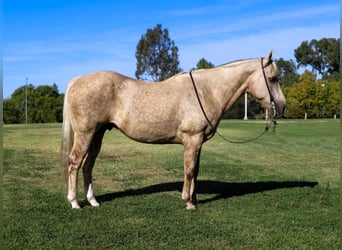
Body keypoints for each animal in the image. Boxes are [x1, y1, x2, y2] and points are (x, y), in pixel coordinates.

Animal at [60, 49, 286, 209]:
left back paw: (93, 201)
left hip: (97, 134)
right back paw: (74, 202)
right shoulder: (192, 139)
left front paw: (194, 199)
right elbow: (190, 170)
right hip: (85, 134)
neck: (206, 91)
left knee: (88, 165)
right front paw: (188, 201)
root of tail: (77, 80)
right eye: (273, 78)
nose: (283, 106)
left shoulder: (198, 142)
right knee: (75, 163)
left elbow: (196, 170)